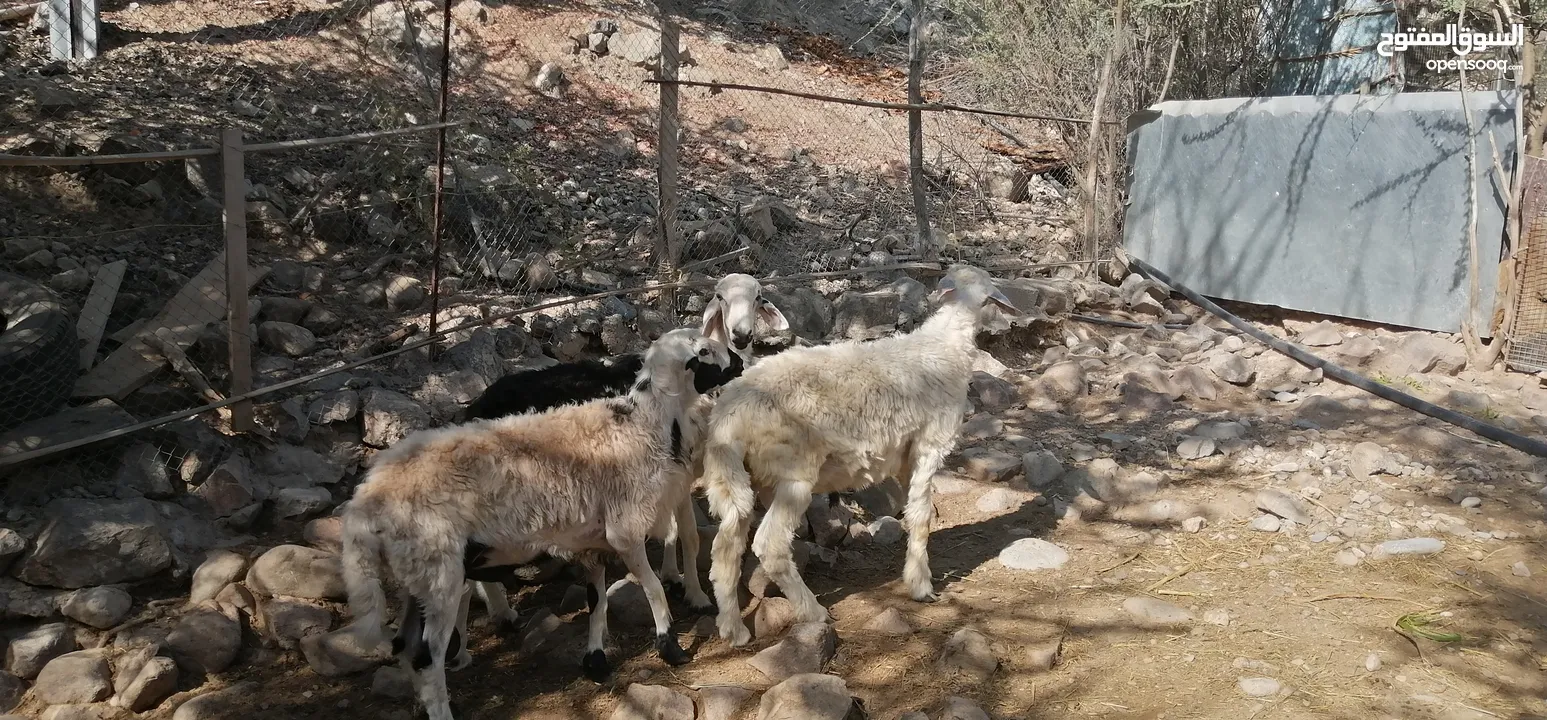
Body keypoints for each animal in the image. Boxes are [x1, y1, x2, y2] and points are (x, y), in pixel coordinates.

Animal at [343, 326, 736, 718]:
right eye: (704, 351)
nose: (740, 362)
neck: (643, 425)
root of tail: (367, 499)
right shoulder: (624, 530)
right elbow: (654, 585)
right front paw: (671, 646)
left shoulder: (591, 541)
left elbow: (597, 600)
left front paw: (596, 660)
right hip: (439, 571)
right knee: (427, 657)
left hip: (417, 576)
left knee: (405, 646)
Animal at [699, 261, 1014, 644]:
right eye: (989, 298)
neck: (944, 346)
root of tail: (728, 416)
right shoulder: (931, 444)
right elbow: (922, 516)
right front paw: (921, 586)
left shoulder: (905, 457)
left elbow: (914, 511)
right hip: (793, 474)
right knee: (770, 545)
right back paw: (813, 611)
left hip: (732, 478)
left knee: (725, 548)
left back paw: (732, 628)